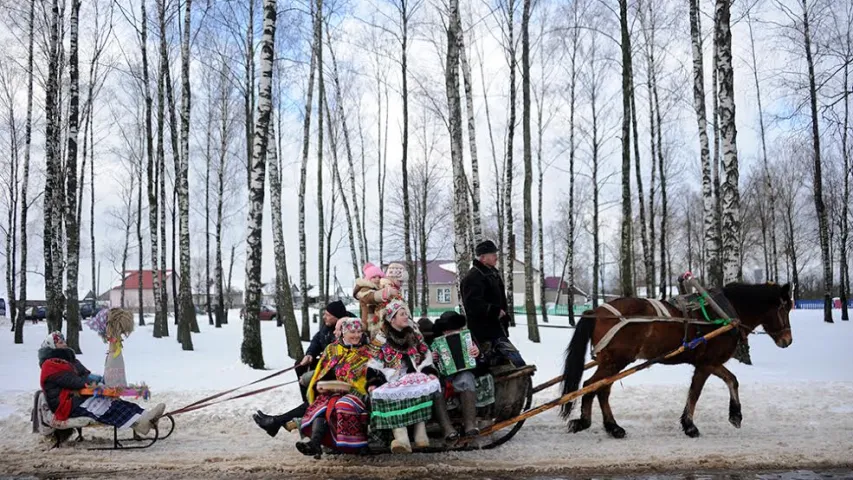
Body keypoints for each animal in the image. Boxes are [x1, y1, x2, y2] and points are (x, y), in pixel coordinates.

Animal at [560, 284, 792, 438]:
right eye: (784, 308)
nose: (787, 340)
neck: (722, 312)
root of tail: (597, 311)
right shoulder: (707, 364)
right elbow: (695, 393)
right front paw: (689, 425)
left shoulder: (709, 362)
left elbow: (732, 380)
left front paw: (735, 415)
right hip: (615, 361)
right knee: (591, 385)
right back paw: (586, 422)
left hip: (611, 362)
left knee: (601, 389)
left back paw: (611, 426)